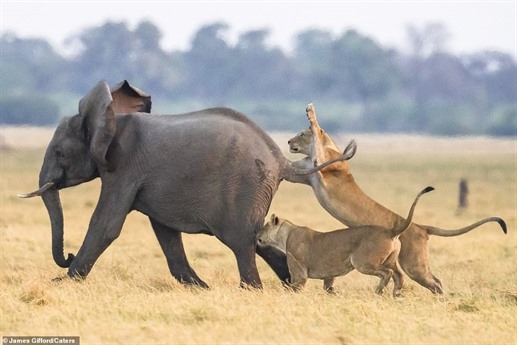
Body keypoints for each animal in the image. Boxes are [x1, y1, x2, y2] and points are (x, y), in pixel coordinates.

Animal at [19, 80, 354, 288]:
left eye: (60, 153)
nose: (67, 257)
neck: (110, 118)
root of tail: (280, 160)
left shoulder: (123, 167)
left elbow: (106, 225)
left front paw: (62, 283)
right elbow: (165, 230)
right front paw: (201, 288)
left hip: (246, 188)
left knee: (242, 240)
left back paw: (252, 289)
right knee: (256, 238)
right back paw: (290, 286)